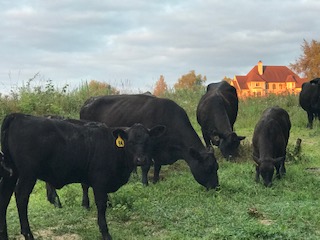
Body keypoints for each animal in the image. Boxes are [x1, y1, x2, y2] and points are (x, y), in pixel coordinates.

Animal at [0, 113, 165, 240]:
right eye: (130, 142)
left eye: (147, 141)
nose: (140, 160)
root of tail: (19, 116)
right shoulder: (100, 182)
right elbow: (101, 206)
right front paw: (105, 233)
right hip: (28, 174)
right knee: (21, 198)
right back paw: (28, 234)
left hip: (11, 174)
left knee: (5, 199)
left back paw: (5, 235)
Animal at [80, 93, 220, 190]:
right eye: (208, 168)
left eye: (217, 167)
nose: (216, 187)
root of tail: (89, 101)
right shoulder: (148, 150)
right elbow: (146, 166)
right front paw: (145, 183)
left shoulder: (158, 151)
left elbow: (157, 166)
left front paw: (155, 181)